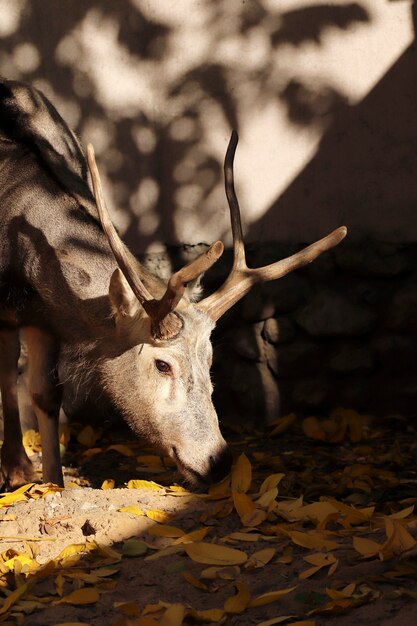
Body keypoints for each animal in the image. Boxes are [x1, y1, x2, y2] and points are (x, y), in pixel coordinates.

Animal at [0, 79, 346, 488]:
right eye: (162, 365)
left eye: (210, 358)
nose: (218, 461)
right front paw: (35, 480)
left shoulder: (44, 315)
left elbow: (46, 396)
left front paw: (54, 483)